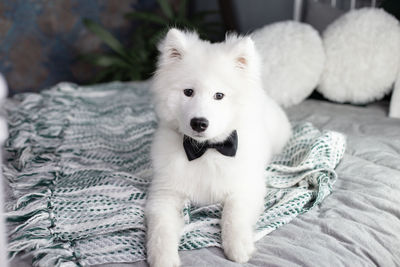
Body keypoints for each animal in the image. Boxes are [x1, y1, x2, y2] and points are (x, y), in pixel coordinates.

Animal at [145, 28, 292, 266]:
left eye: (219, 95)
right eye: (188, 92)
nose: (199, 123)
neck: (206, 149)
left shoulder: (246, 187)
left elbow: (233, 214)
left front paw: (238, 246)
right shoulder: (164, 193)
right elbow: (161, 228)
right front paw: (163, 257)